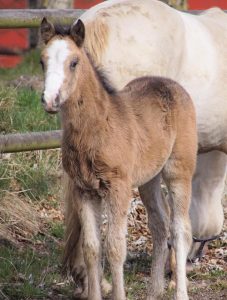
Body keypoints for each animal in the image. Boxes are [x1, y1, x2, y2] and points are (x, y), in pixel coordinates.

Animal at [40, 18, 197, 300]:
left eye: (74, 62)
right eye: (42, 61)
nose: (50, 100)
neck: (97, 128)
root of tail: (173, 85)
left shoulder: (118, 188)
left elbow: (114, 247)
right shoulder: (84, 190)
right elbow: (92, 248)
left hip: (178, 171)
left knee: (180, 230)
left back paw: (180, 292)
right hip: (148, 179)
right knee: (159, 225)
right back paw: (154, 290)